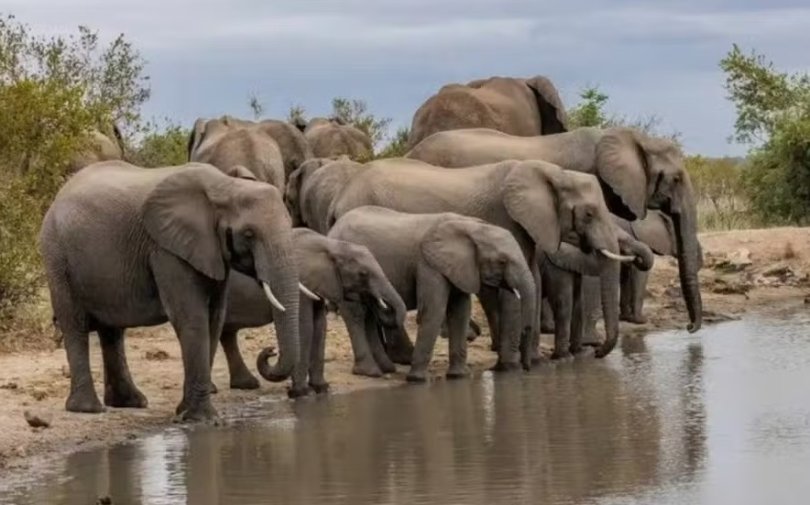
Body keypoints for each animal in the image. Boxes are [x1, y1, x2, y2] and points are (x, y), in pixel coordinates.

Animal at [39, 161, 301, 421]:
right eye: (248, 234)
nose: (271, 350)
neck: (225, 186)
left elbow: (214, 318)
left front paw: (184, 412)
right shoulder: (167, 250)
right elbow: (192, 317)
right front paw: (203, 419)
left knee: (112, 331)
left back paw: (130, 402)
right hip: (57, 257)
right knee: (75, 324)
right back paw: (88, 408)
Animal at [220, 228, 406, 397]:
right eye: (363, 273)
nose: (271, 350)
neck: (330, 245)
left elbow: (319, 326)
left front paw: (322, 389)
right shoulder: (303, 284)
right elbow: (305, 327)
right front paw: (301, 393)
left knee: (226, 333)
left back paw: (246, 385)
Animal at [328, 206, 536, 381]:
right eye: (502, 261)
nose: (527, 368)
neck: (470, 226)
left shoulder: (459, 267)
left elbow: (460, 312)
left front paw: (459, 376)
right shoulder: (428, 264)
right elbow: (434, 310)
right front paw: (417, 379)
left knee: (369, 316)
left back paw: (386, 369)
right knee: (356, 315)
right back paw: (370, 372)